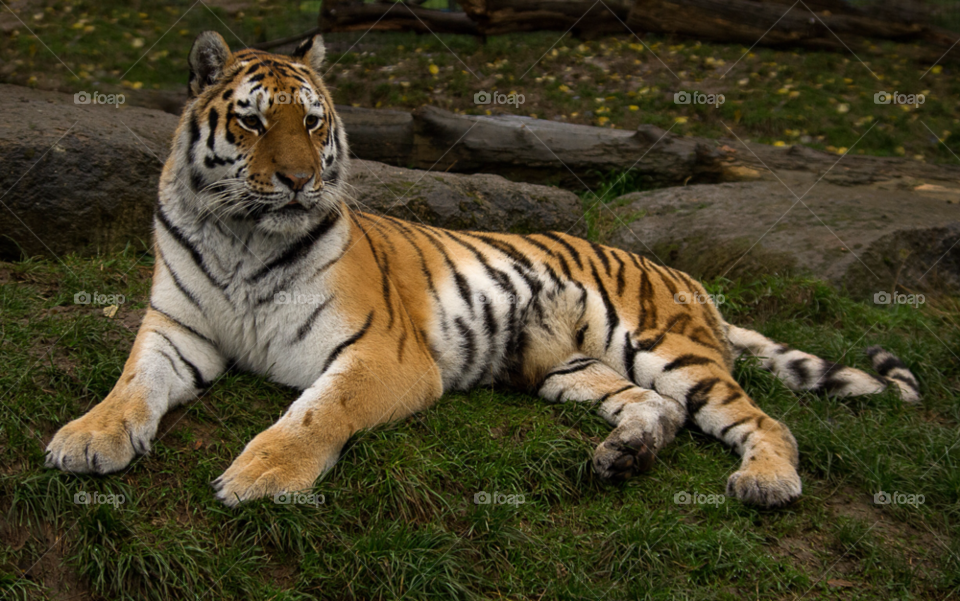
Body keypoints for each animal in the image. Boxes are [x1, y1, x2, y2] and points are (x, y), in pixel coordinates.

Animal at [43, 31, 924, 506]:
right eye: (255, 123)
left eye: (315, 121)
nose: (298, 179)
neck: (241, 235)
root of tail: (684, 276)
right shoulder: (178, 328)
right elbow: (130, 385)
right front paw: (86, 438)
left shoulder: (381, 355)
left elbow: (317, 412)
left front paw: (262, 474)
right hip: (569, 366)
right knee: (658, 408)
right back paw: (622, 455)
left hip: (663, 344)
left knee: (764, 419)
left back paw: (765, 480)